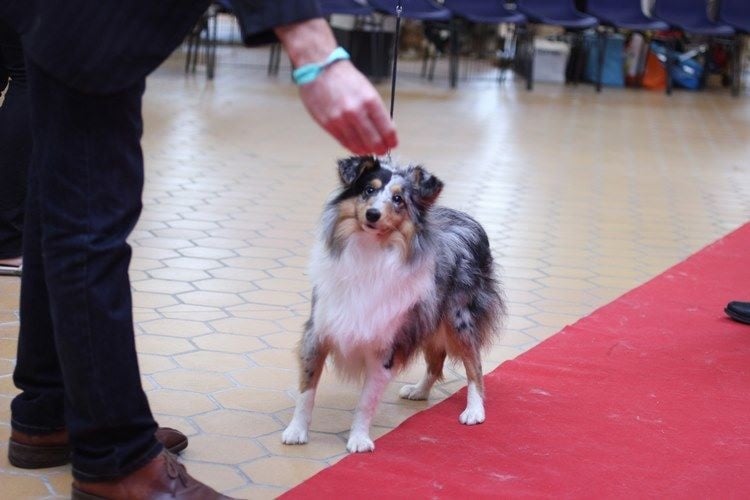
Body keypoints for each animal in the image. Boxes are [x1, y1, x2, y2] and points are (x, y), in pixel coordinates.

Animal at [284, 155, 508, 454]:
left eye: (399, 199)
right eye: (368, 190)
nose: (372, 214)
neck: (368, 252)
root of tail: (468, 218)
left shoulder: (384, 344)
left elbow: (366, 401)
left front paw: (359, 439)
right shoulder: (318, 331)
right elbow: (306, 390)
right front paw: (296, 431)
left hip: (457, 318)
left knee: (474, 364)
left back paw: (474, 410)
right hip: (427, 318)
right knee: (436, 360)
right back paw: (419, 391)